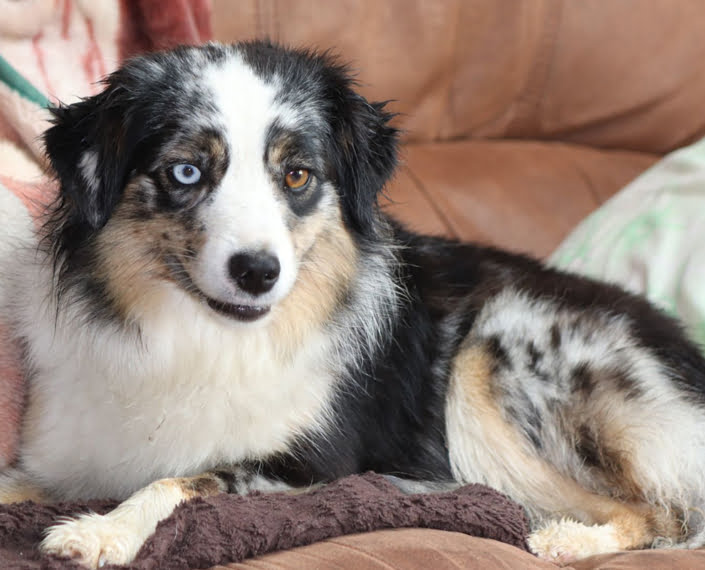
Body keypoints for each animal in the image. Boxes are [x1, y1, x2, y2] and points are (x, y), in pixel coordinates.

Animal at [1, 40, 704, 564]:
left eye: (297, 174)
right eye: (186, 171)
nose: (258, 272)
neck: (203, 337)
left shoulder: (313, 467)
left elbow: (185, 480)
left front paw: (101, 530)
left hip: (495, 355)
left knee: (662, 513)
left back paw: (565, 540)